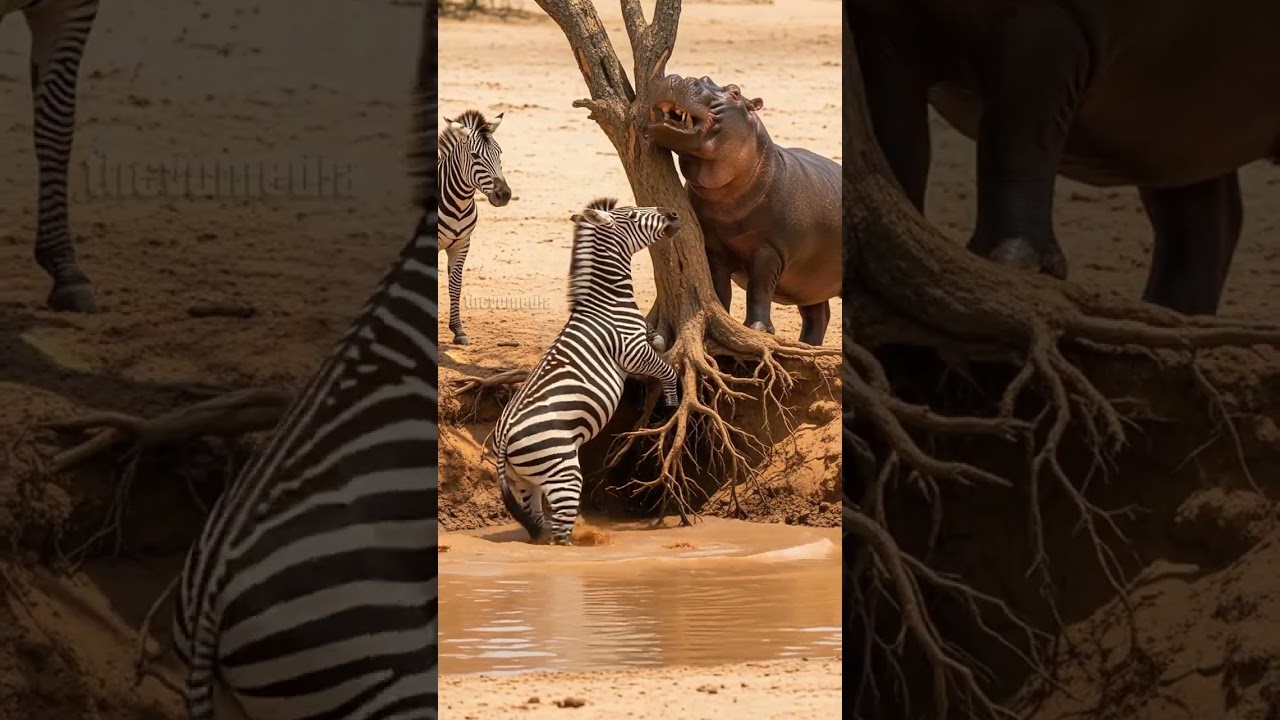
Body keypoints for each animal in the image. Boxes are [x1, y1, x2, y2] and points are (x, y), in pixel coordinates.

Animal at [437, 108, 511, 346]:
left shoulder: (462, 245)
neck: (459, 204)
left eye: (499, 154)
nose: (504, 195)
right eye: (475, 156)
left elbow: (455, 284)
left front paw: (458, 330)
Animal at [493, 197, 682, 546]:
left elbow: (660, 342)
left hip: (525, 481)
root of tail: (502, 438)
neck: (607, 302)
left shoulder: (641, 342)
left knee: (539, 525)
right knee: (559, 535)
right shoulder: (632, 352)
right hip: (563, 473)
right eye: (632, 215)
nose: (674, 213)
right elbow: (668, 370)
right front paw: (671, 404)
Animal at [641, 74, 842, 346]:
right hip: (810, 281)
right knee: (818, 313)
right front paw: (724, 319)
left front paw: (758, 330)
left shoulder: (769, 250)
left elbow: (759, 289)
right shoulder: (714, 247)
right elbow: (719, 286)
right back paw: (807, 345)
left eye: (735, 92)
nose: (679, 77)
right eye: (704, 78)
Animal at [849, 0, 1280, 316]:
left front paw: (1017, 266)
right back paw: (1166, 320)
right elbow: (894, 139)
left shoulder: (1046, 24)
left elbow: (1018, 139)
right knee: (1203, 220)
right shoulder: (881, 28)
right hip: (1179, 122)